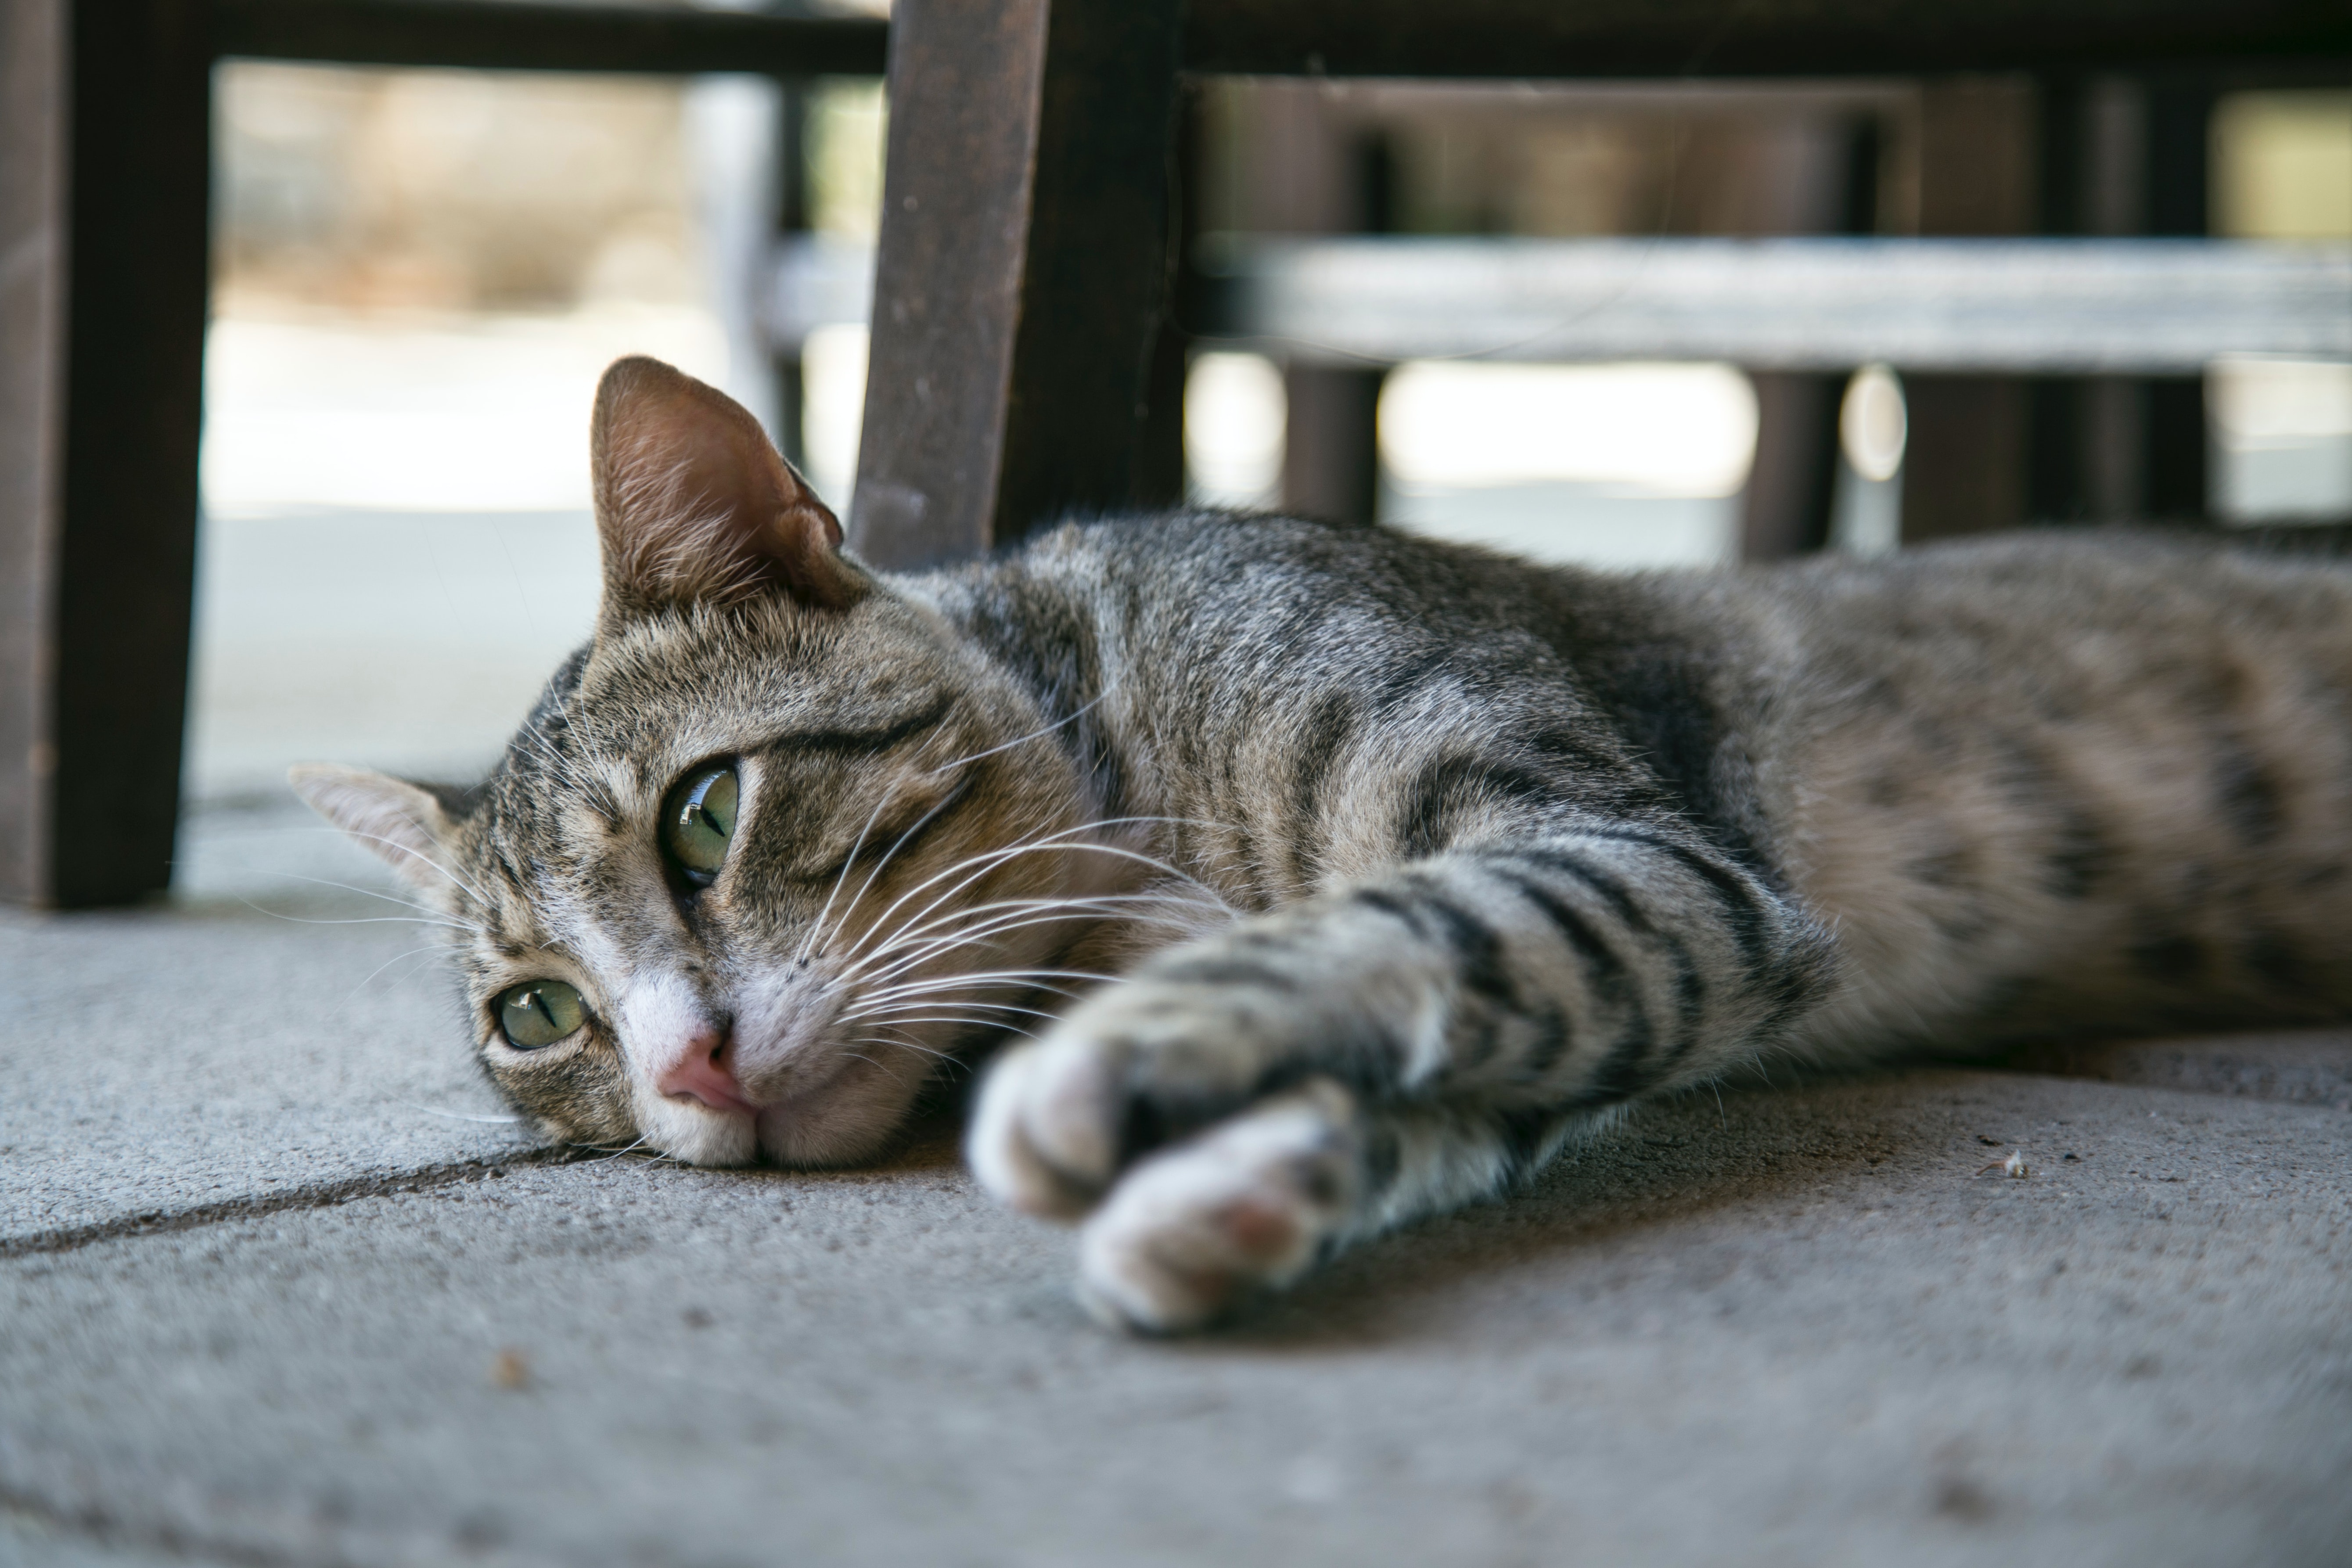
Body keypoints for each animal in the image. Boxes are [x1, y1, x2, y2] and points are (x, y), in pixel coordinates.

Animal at [294, 360, 2352, 1335]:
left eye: (707, 812)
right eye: (541, 1015)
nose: (687, 1067)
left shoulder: (1641, 855)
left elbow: (1437, 923)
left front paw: (1129, 1069)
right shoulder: (1662, 951)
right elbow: (1484, 1055)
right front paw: (1233, 1187)